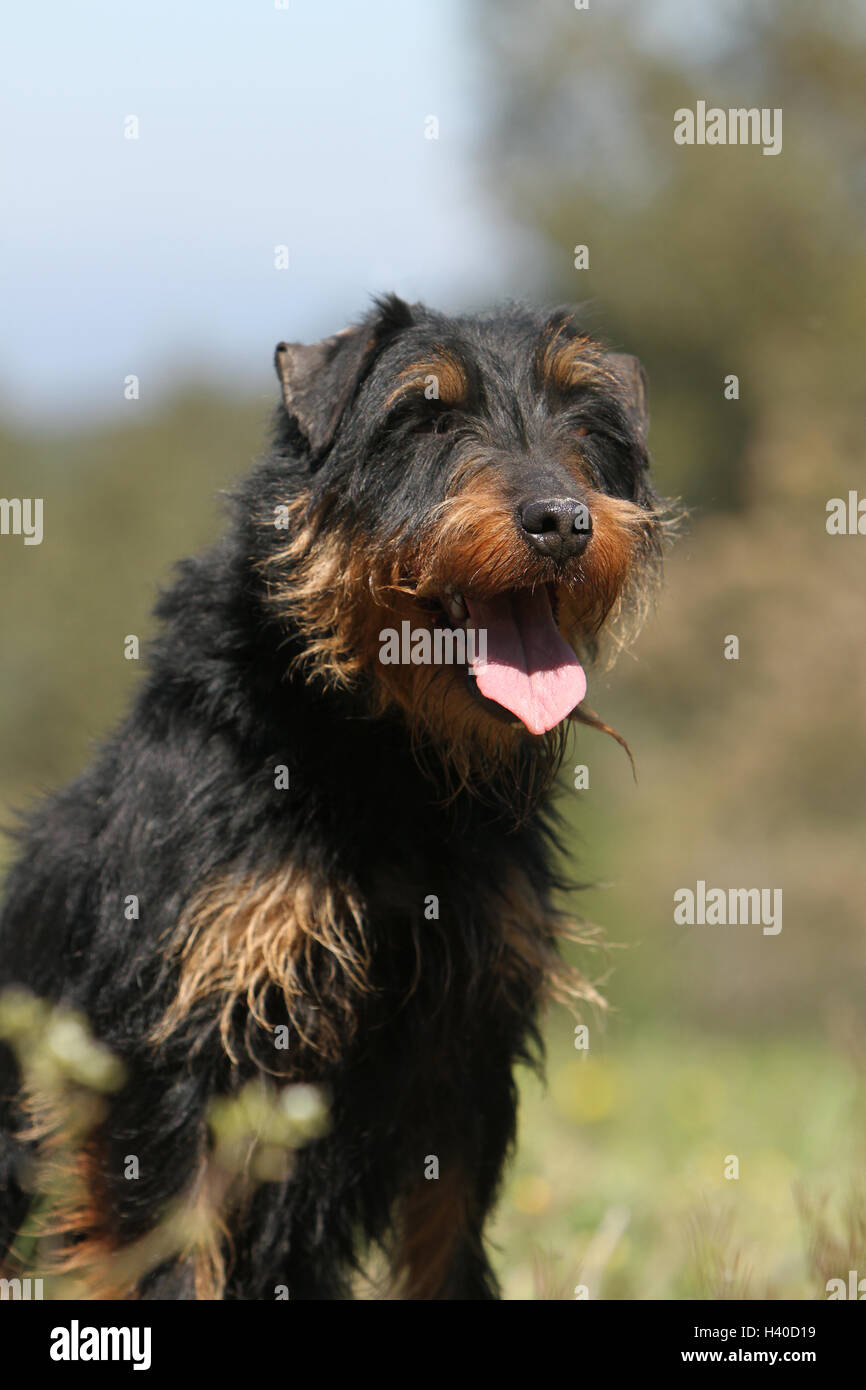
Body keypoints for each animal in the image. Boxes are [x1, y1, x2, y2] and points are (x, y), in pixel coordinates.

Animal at [0, 296, 664, 1301]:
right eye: (424, 418)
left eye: (585, 421)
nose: (563, 521)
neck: (391, 767)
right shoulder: (175, 1048)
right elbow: (171, 1255)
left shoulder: (466, 1056)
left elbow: (446, 1247)